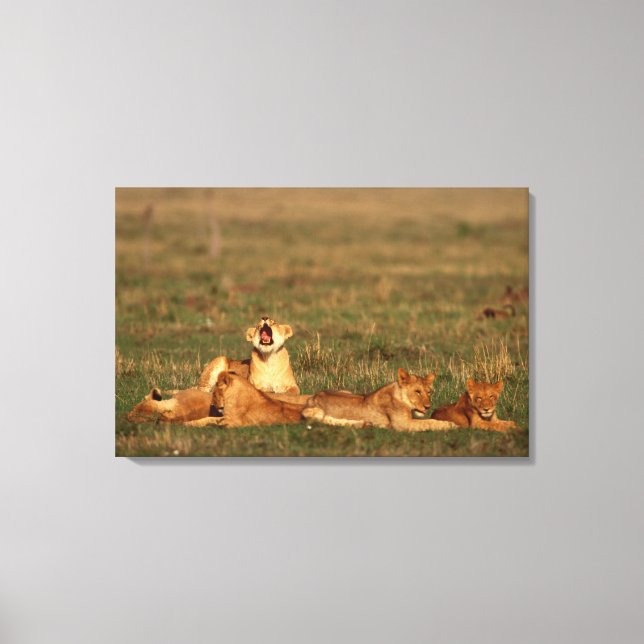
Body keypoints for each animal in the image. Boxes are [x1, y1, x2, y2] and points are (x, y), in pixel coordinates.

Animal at [302, 368, 457, 432]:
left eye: (429, 392)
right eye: (417, 392)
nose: (428, 406)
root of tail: (312, 397)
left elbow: (428, 420)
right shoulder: (403, 425)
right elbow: (429, 422)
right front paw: (452, 425)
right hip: (316, 412)